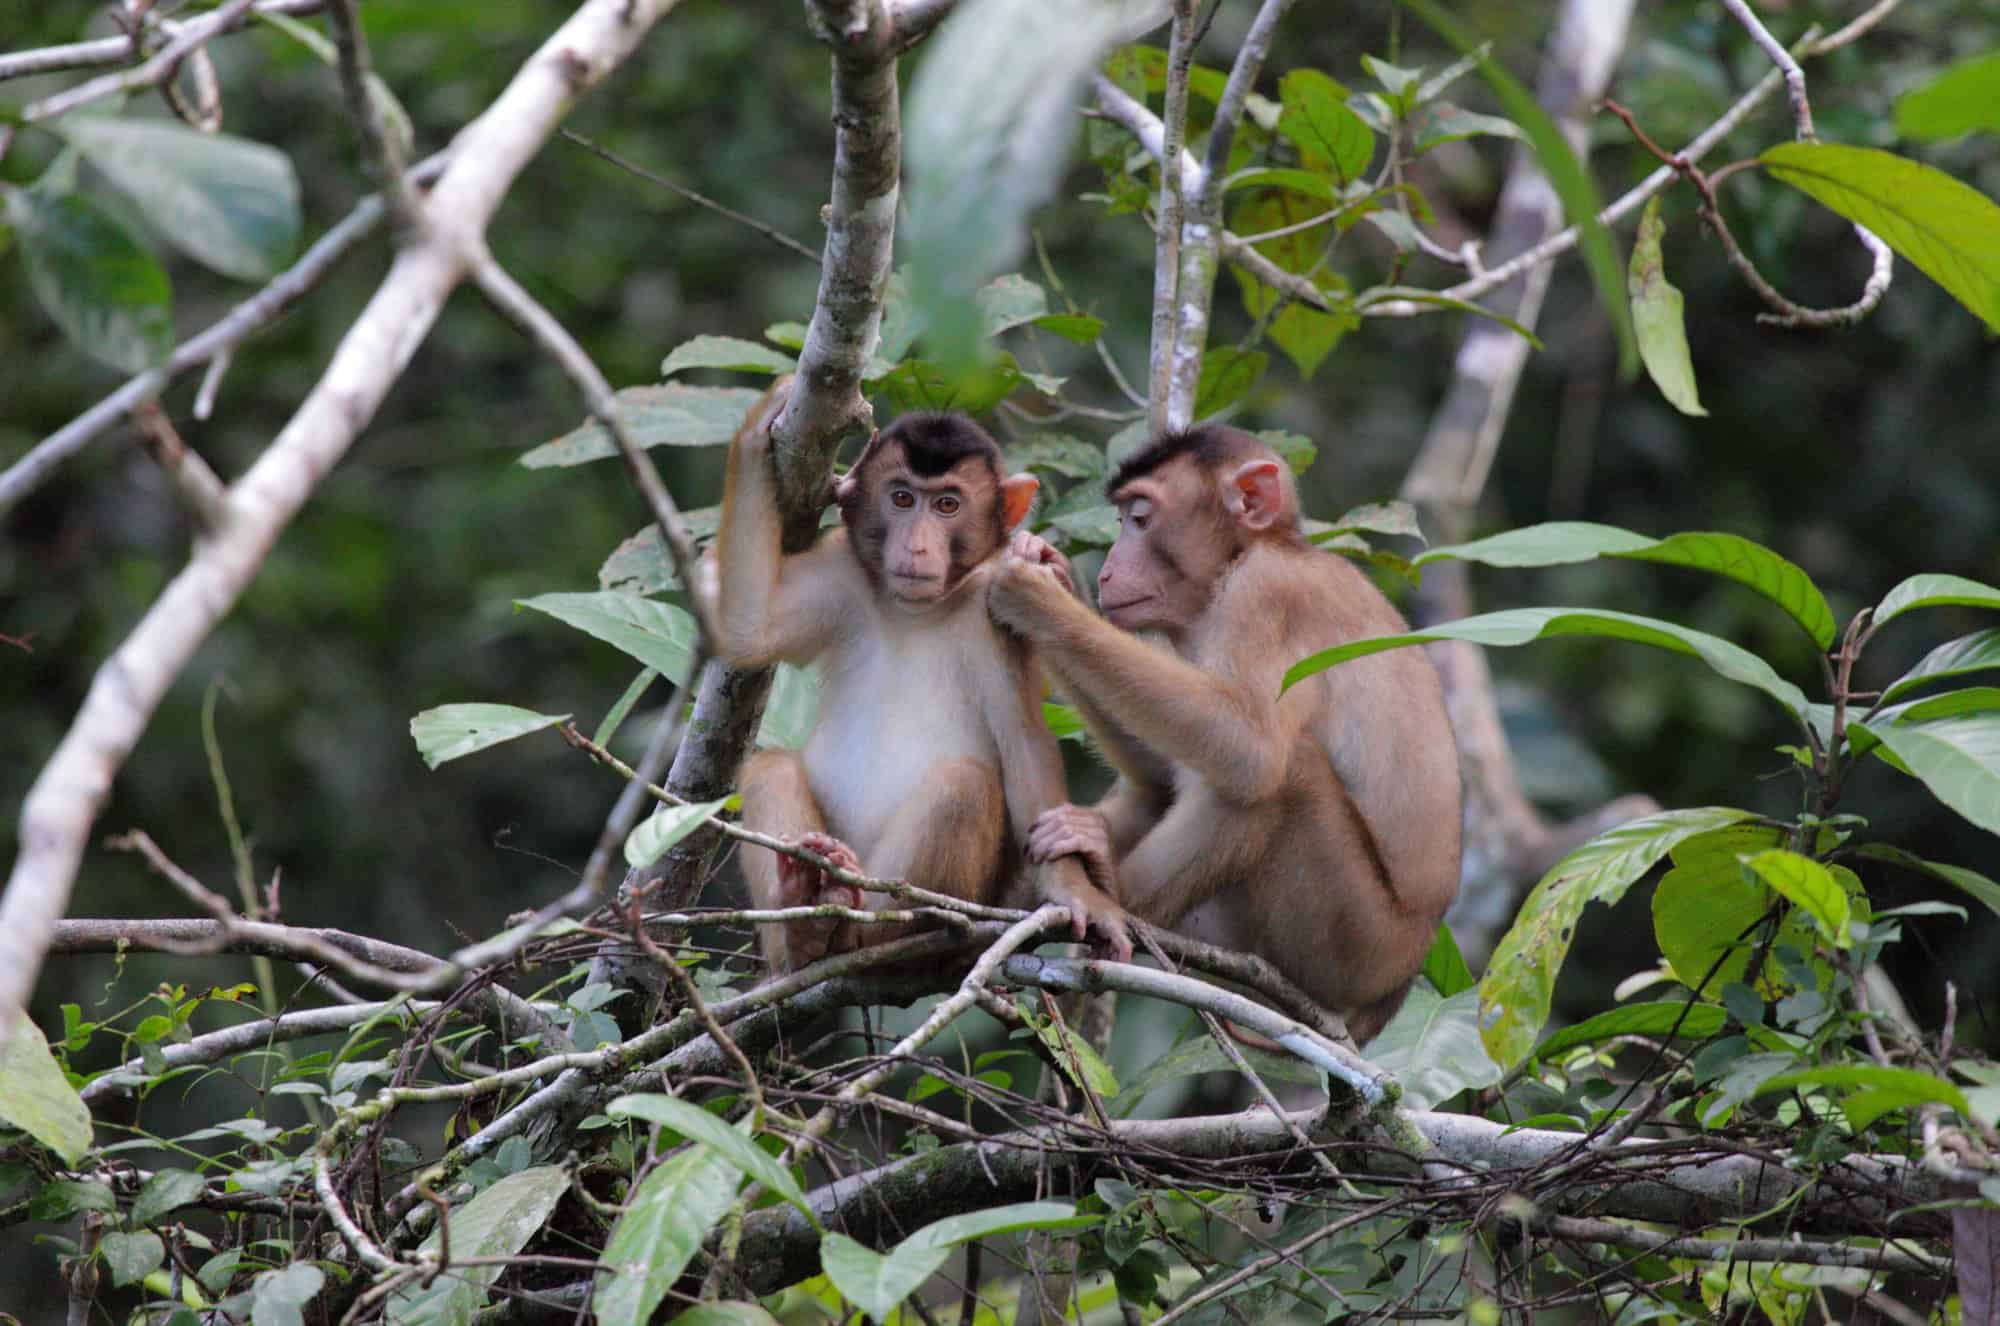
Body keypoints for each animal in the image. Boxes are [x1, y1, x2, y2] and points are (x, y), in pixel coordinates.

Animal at [702, 380, 1130, 971]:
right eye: (902, 498)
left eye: (948, 505)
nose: (917, 545)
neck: (918, 612)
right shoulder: (842, 572)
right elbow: (748, 632)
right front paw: (756, 429)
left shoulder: (996, 610)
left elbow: (1023, 740)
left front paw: (1074, 891)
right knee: (769, 767)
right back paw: (804, 921)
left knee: (962, 782)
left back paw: (860, 929)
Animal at [986, 423, 1461, 1043]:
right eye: (1120, 519)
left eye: (1140, 518)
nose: (1108, 570)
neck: (1252, 553)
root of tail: (1389, 997)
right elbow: (1167, 769)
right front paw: (1055, 574)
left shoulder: (1266, 596)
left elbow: (1248, 750)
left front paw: (1038, 597)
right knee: (1160, 788)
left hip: (1352, 944)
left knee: (1282, 776)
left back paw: (1106, 890)